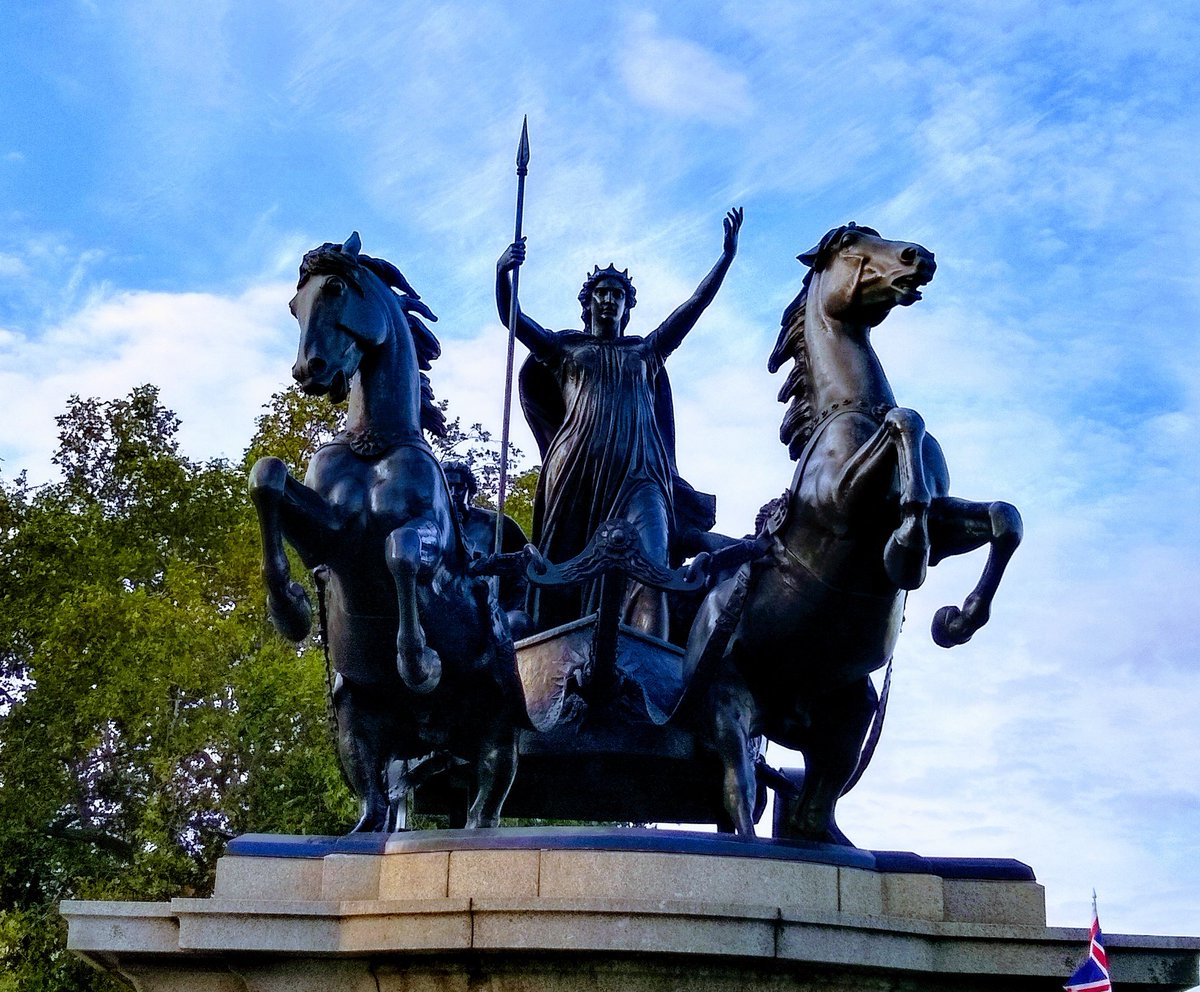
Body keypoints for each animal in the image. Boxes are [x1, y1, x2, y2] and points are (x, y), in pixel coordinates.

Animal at [250, 232, 518, 830]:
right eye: (294, 305)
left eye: (336, 287)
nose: (310, 370)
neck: (374, 442)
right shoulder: (331, 534)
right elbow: (268, 478)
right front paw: (292, 608)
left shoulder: (434, 546)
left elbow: (401, 552)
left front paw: (419, 663)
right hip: (357, 722)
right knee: (374, 797)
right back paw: (364, 828)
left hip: (497, 729)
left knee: (485, 802)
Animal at [686, 225, 1022, 844]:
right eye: (848, 242)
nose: (920, 256)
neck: (854, 409)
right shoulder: (842, 505)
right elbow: (907, 419)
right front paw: (907, 549)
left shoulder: (948, 522)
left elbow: (1002, 518)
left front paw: (957, 621)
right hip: (728, 709)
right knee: (739, 794)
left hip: (845, 723)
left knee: (812, 810)